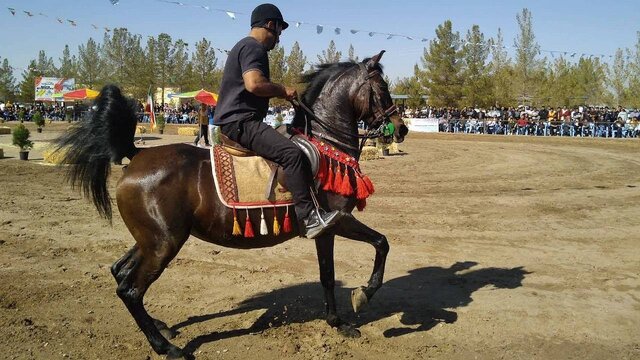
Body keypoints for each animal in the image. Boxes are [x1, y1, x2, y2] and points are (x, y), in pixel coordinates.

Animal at [53, 51, 404, 360]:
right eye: (383, 89)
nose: (400, 128)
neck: (325, 145)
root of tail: (136, 154)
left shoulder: (326, 230)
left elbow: (328, 275)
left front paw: (337, 323)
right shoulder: (337, 219)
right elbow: (382, 243)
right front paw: (363, 295)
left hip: (150, 240)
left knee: (119, 272)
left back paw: (162, 328)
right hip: (163, 244)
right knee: (130, 289)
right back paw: (168, 348)